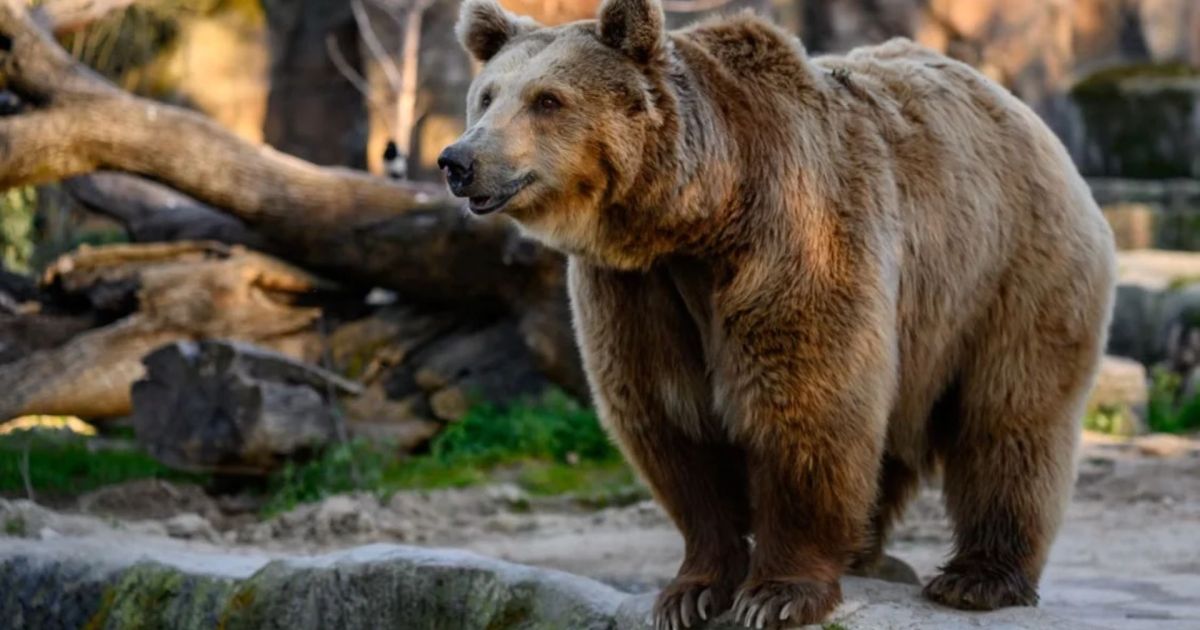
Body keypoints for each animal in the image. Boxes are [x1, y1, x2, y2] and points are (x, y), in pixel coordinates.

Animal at [440, 0, 1116, 627]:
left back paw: (977, 578)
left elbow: (804, 406)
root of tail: (1021, 111)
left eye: (547, 99)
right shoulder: (637, 289)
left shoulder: (795, 236)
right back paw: (867, 554)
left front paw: (776, 594)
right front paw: (690, 592)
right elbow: (670, 420)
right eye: (487, 95)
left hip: (1008, 271)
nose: (458, 160)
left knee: (1009, 419)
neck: (698, 216)